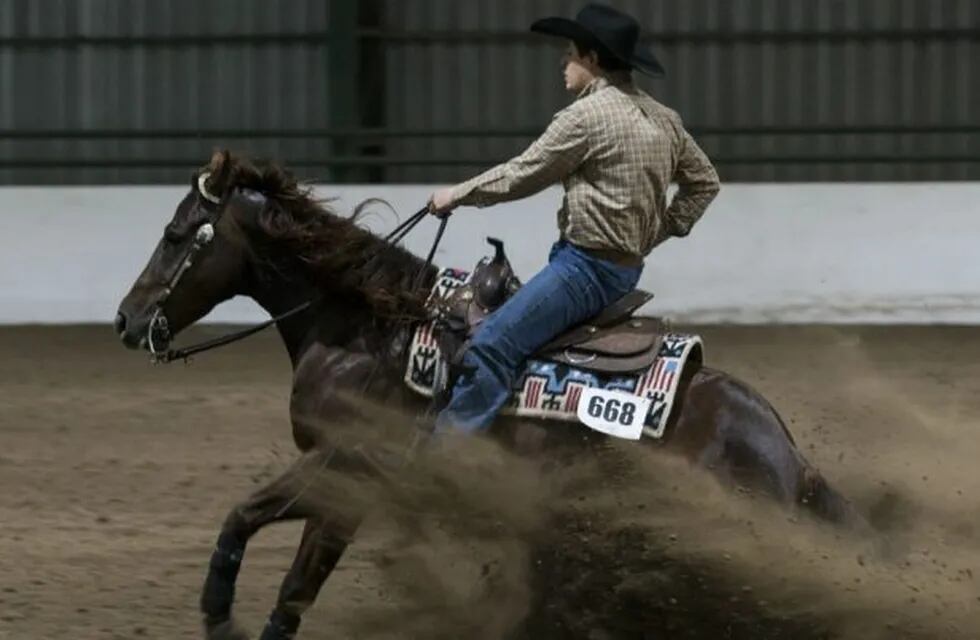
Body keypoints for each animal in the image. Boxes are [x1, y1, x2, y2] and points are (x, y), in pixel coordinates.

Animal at [115, 152, 860, 640]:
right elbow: (295, 580)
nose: (126, 321)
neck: (366, 330)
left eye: (176, 235)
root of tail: (789, 459)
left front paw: (218, 613)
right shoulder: (350, 485)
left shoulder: (347, 465)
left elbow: (253, 529)